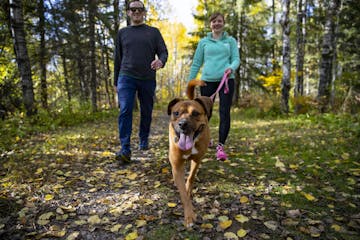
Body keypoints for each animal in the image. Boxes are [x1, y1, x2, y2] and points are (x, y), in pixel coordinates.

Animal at [167, 80, 212, 227]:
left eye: (196, 113)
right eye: (176, 113)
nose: (183, 124)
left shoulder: (197, 160)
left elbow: (191, 177)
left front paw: (188, 188)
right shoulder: (177, 167)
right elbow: (183, 194)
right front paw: (189, 216)